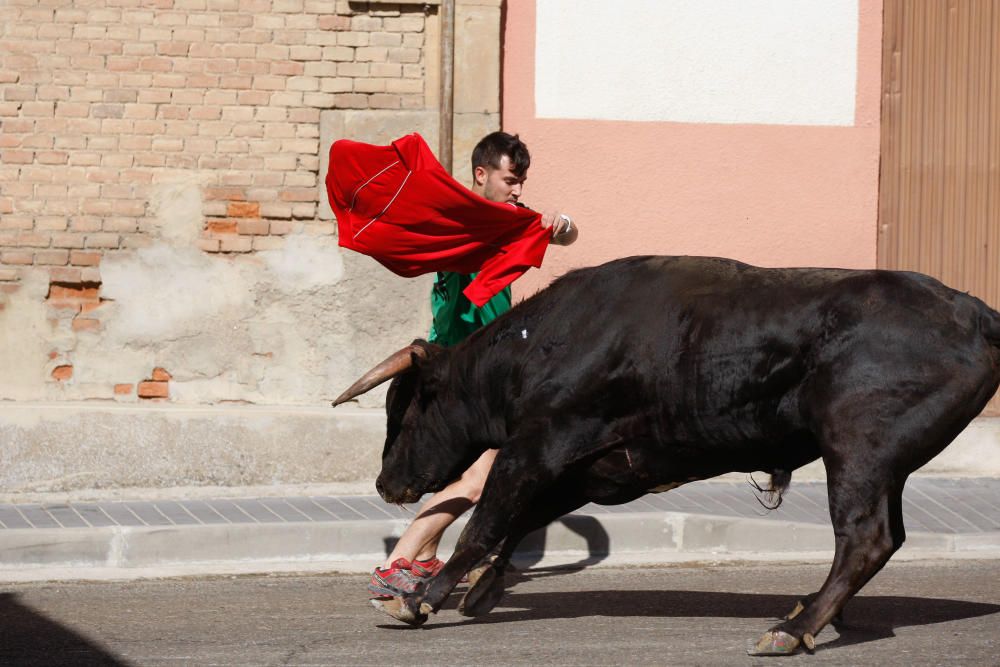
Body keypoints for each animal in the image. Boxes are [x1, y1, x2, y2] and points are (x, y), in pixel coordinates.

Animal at [332, 258, 996, 656]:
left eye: (404, 409)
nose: (385, 483)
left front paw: (419, 598)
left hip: (857, 453)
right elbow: (521, 519)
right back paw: (810, 614)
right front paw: (482, 589)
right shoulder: (602, 468)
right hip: (884, 467)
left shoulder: (536, 446)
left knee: (865, 538)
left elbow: (487, 521)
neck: (541, 344)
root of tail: (974, 311)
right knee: (886, 537)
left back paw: (792, 629)